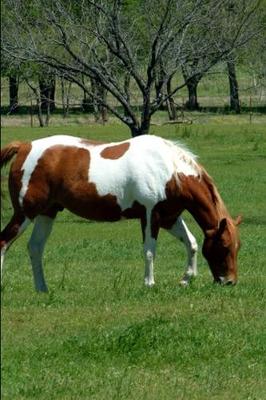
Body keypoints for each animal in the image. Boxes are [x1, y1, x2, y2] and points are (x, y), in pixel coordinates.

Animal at [0, 134, 241, 290]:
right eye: (224, 246)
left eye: (237, 247)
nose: (229, 281)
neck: (170, 171)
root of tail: (24, 146)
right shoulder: (150, 215)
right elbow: (149, 251)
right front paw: (149, 283)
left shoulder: (170, 218)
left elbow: (191, 243)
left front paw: (185, 279)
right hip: (25, 213)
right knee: (4, 242)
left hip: (46, 214)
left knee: (35, 248)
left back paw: (42, 288)